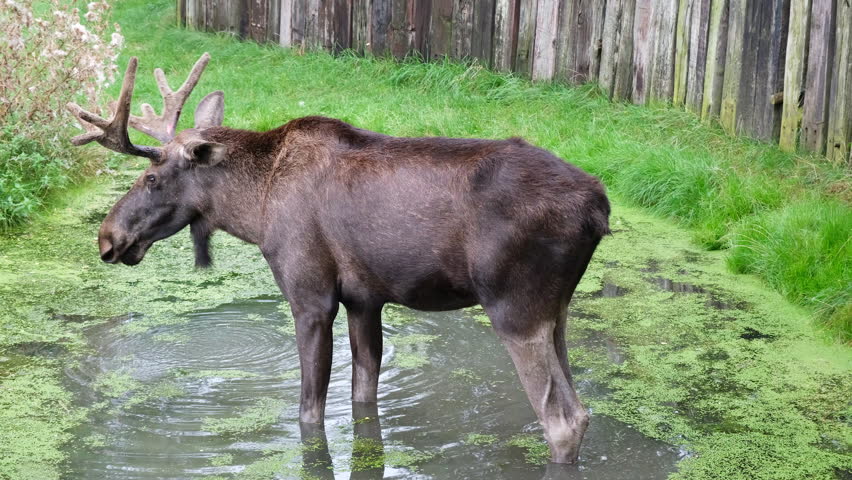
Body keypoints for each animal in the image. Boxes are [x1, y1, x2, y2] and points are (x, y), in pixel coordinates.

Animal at [67, 53, 611, 464]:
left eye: (151, 178)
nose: (107, 238)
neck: (255, 209)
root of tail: (599, 208)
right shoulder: (364, 300)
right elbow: (363, 399)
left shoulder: (311, 296)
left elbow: (310, 411)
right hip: (555, 311)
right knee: (581, 411)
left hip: (514, 307)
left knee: (561, 420)